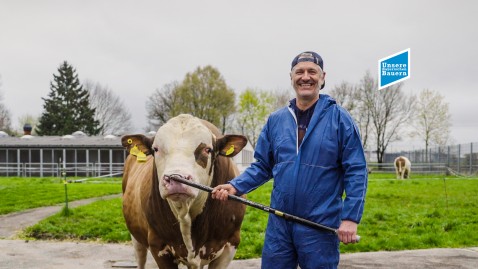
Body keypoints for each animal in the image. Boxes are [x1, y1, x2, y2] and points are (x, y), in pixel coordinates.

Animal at [120, 113, 246, 268]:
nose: (176, 178)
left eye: (207, 149)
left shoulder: (231, 244)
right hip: (136, 237)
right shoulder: (158, 245)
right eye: (156, 149)